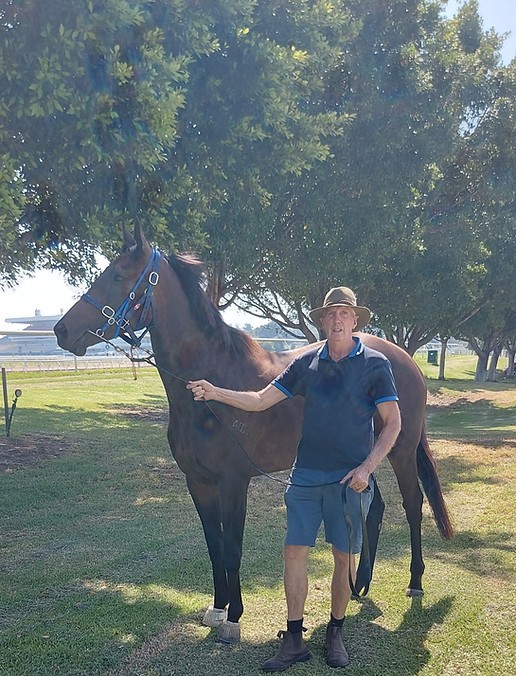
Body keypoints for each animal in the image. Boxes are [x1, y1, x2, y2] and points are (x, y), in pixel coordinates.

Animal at [54, 224, 453, 643]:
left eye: (118, 276)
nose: (62, 330)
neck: (208, 386)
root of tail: (405, 360)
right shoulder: (198, 482)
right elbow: (214, 546)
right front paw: (216, 608)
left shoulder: (233, 481)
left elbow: (232, 547)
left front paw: (234, 618)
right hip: (362, 461)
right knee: (373, 510)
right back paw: (360, 585)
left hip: (400, 451)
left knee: (413, 505)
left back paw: (415, 582)